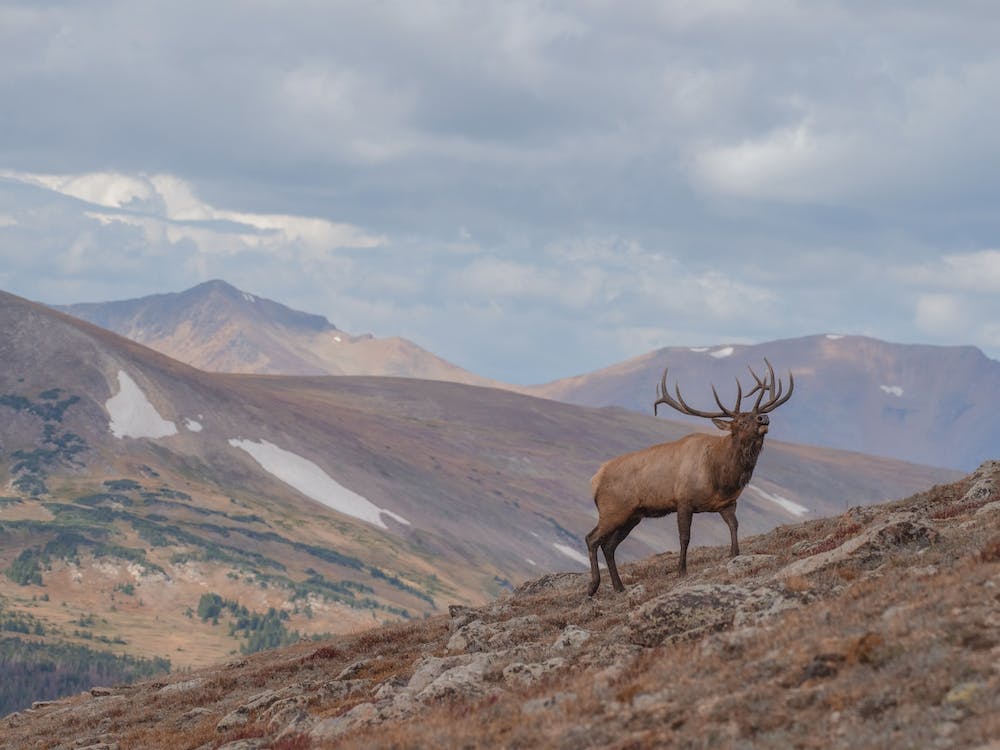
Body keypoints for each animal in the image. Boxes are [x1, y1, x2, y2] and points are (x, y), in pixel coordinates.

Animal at [586, 359, 794, 596]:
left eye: (754, 414)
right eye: (741, 421)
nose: (764, 418)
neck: (721, 476)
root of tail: (595, 480)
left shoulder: (727, 503)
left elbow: (734, 526)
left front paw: (735, 554)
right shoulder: (683, 501)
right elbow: (684, 537)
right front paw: (681, 571)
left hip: (632, 516)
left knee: (608, 545)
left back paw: (619, 587)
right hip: (613, 510)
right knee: (592, 539)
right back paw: (592, 587)